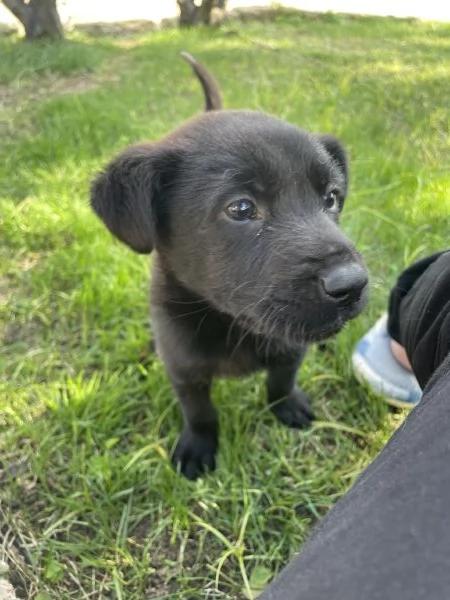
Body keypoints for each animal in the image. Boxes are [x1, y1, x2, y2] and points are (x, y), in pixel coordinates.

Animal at [89, 54, 368, 480]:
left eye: (331, 198)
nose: (352, 284)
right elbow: (200, 412)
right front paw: (198, 447)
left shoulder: (290, 349)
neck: (232, 325)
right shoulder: (183, 367)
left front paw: (286, 407)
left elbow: (281, 381)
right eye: (240, 208)